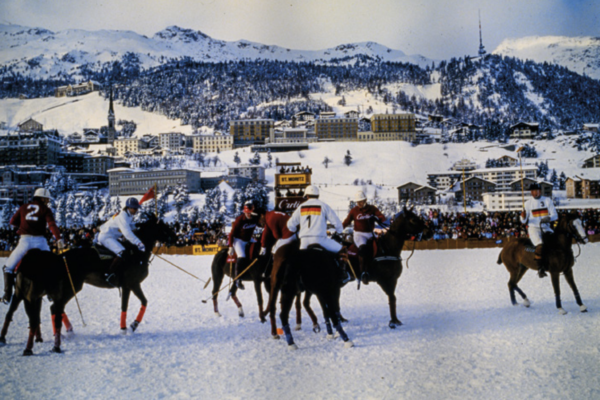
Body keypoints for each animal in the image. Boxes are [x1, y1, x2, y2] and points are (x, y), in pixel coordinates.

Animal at [0, 212, 177, 354]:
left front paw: (131, 326)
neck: (136, 253)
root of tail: (60, 258)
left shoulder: (133, 285)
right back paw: (62, 335)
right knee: (55, 307)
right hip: (73, 286)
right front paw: (127, 328)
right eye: (163, 227)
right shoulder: (129, 284)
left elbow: (141, 302)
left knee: (53, 308)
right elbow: (128, 305)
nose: (174, 239)